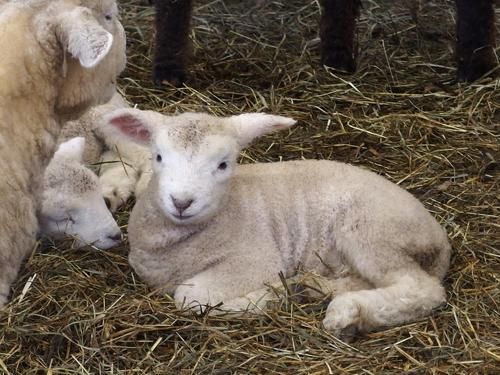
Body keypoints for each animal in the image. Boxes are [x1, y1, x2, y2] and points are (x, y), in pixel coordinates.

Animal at [103, 108, 452, 340]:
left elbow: (190, 296)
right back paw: (311, 289)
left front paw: (263, 299)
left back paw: (344, 311)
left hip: (372, 231)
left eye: (223, 164)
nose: (181, 201)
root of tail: (441, 241)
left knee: (420, 289)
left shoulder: (256, 260)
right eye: (159, 156)